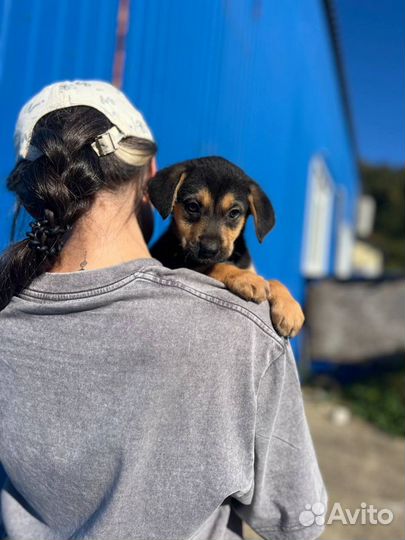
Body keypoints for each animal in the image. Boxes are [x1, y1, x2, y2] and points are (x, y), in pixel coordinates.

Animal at [148, 155, 304, 338]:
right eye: (192, 206)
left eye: (234, 213)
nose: (209, 249)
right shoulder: (181, 265)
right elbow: (215, 266)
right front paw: (246, 278)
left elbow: (273, 280)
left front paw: (290, 309)